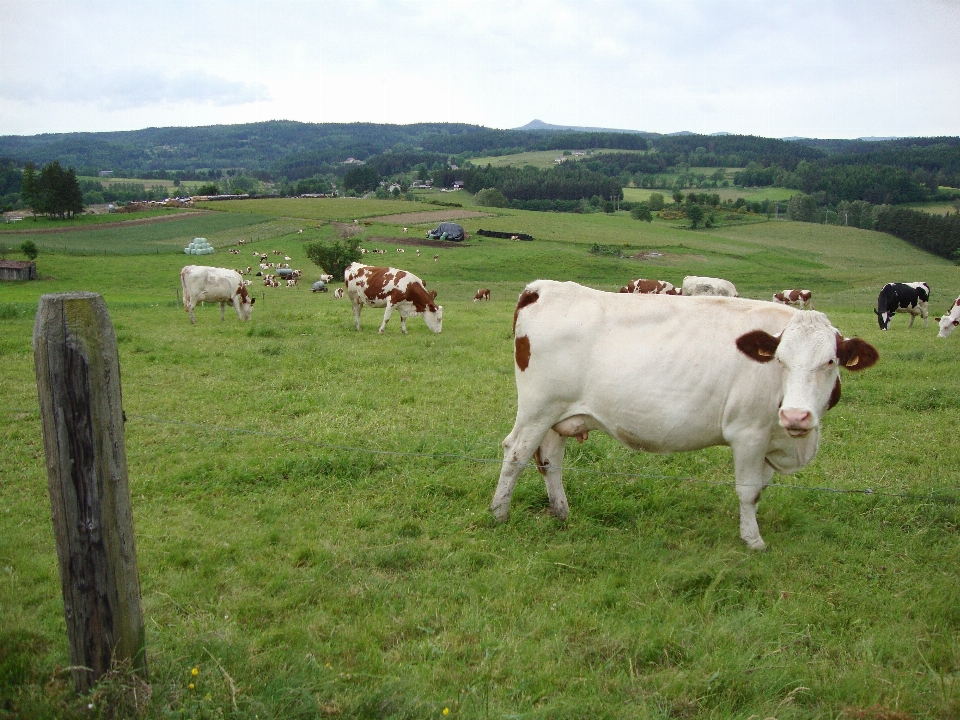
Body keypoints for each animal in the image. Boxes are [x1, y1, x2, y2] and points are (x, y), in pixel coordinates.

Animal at [496, 278, 876, 548]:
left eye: (830, 362)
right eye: (780, 360)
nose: (796, 416)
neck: (793, 444)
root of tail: (542, 288)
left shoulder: (770, 438)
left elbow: (760, 488)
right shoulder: (748, 434)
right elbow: (748, 490)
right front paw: (753, 540)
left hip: (559, 417)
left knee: (549, 459)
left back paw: (561, 512)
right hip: (537, 409)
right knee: (515, 453)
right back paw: (499, 513)